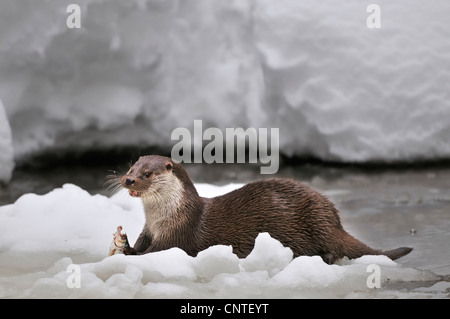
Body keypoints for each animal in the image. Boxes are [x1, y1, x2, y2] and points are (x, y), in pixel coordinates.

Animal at [115, 156, 412, 264]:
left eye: (148, 173)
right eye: (131, 167)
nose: (128, 180)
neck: (164, 218)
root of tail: (335, 219)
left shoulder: (176, 234)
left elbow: (156, 252)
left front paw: (129, 252)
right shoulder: (149, 229)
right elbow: (143, 243)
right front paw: (128, 245)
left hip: (316, 220)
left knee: (332, 247)